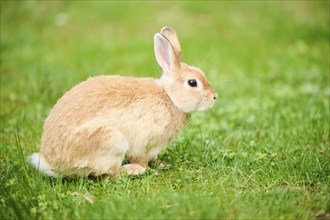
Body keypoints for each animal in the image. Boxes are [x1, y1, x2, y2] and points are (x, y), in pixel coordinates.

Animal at [28, 26, 218, 179]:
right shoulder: (143, 144)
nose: (215, 97)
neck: (169, 96)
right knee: (110, 175)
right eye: (192, 83)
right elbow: (142, 159)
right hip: (111, 141)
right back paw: (134, 171)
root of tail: (53, 164)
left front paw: (163, 165)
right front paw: (150, 169)